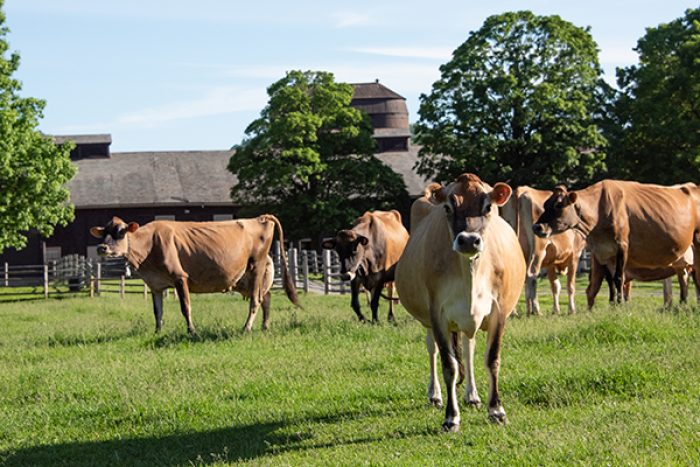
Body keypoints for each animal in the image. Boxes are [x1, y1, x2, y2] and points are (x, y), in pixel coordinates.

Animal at [89, 216, 300, 332]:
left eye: (121, 232)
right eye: (104, 233)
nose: (101, 248)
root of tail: (260, 218)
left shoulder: (180, 277)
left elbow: (185, 308)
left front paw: (192, 331)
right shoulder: (155, 284)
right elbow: (158, 311)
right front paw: (157, 331)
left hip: (257, 266)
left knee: (256, 300)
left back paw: (246, 328)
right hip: (246, 279)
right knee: (267, 297)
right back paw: (264, 326)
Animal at [394, 176, 524, 432]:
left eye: (488, 207)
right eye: (447, 207)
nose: (468, 240)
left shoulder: (500, 312)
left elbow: (492, 359)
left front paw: (496, 410)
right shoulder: (437, 315)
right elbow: (449, 365)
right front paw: (451, 417)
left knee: (469, 348)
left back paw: (472, 396)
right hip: (427, 321)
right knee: (432, 350)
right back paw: (435, 395)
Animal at [500, 188, 588, 316]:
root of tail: (522, 190)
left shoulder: (550, 261)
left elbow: (555, 286)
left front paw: (556, 310)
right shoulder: (575, 255)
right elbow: (570, 285)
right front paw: (572, 310)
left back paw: (517, 311)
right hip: (538, 250)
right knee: (531, 275)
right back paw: (536, 310)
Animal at [532, 181, 696, 308]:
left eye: (559, 205)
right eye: (545, 204)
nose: (537, 227)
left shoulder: (622, 247)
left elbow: (618, 278)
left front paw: (620, 305)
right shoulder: (604, 253)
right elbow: (611, 282)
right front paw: (614, 305)